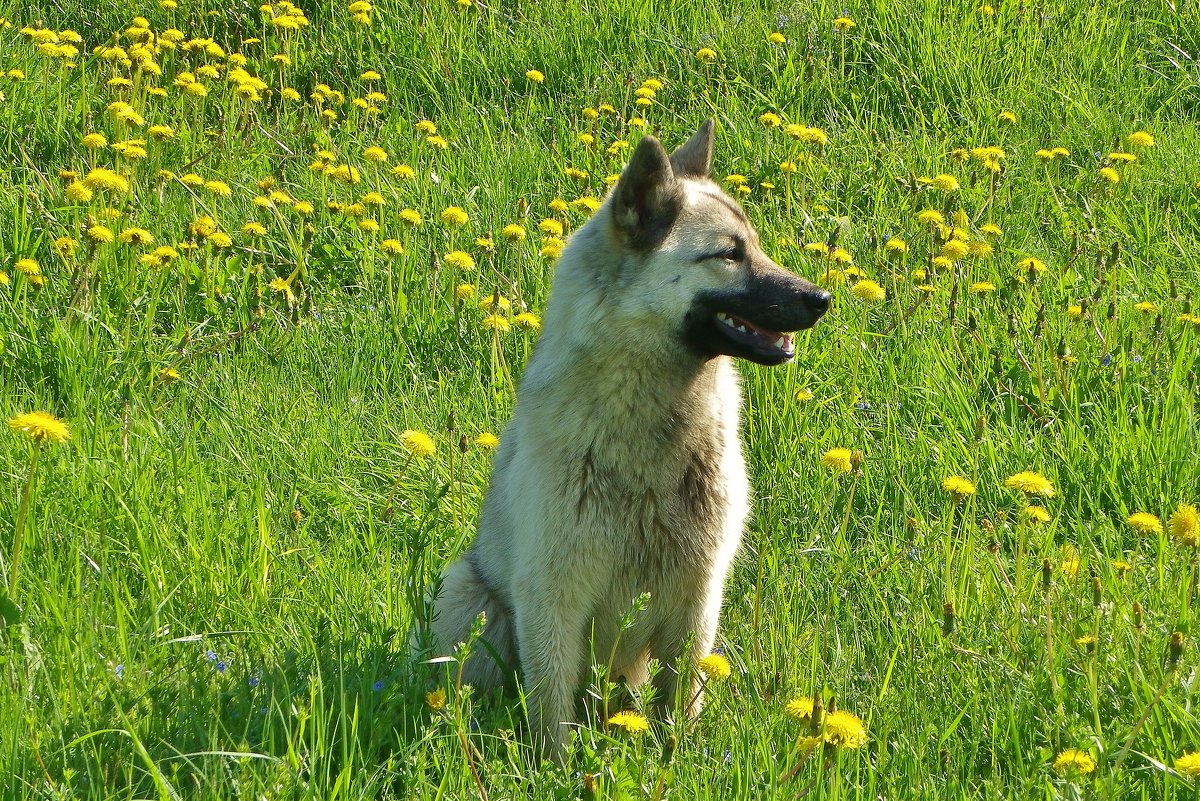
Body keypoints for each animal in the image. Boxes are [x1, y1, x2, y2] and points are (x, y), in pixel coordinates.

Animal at [427, 120, 830, 757]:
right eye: (729, 254)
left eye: (755, 246)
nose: (822, 300)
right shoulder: (552, 598)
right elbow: (552, 707)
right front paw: (555, 769)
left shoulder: (697, 597)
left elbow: (678, 701)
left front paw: (675, 759)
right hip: (471, 596)